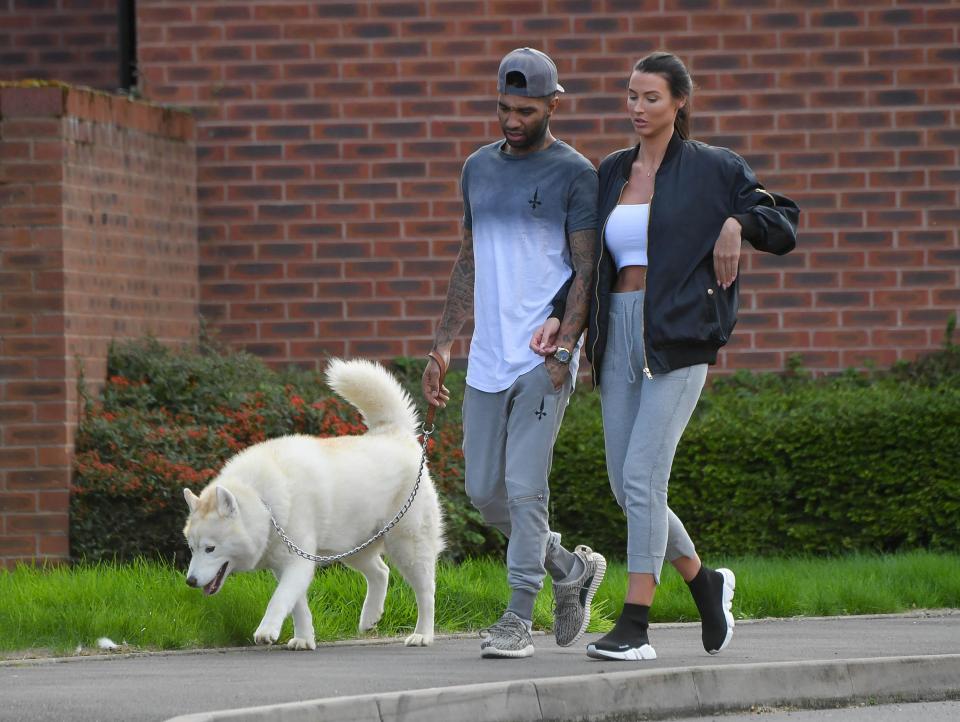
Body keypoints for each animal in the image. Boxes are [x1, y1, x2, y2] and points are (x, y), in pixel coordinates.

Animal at [182, 360, 444, 648]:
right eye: (192, 548)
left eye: (210, 549)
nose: (190, 581)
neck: (264, 502)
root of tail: (394, 432)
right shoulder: (285, 565)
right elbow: (298, 607)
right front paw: (304, 639)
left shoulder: (297, 563)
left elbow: (279, 600)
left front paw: (267, 631)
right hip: (353, 547)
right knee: (381, 572)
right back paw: (369, 618)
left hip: (408, 545)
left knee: (426, 591)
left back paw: (423, 634)